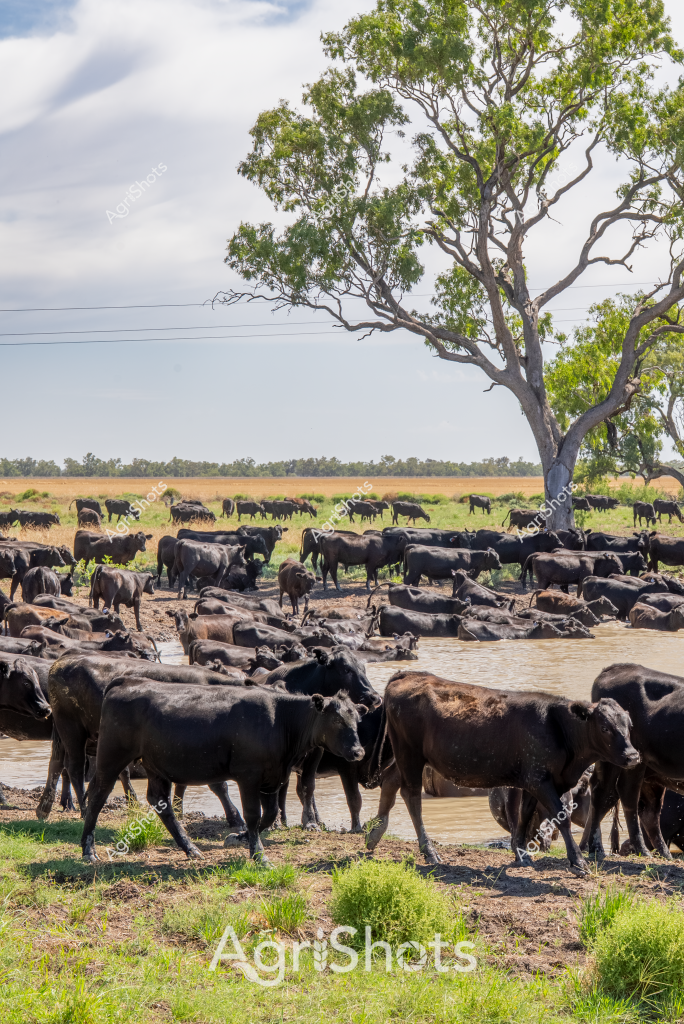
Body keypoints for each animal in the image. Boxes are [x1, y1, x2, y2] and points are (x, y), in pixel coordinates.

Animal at [365, 670, 639, 875]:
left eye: (629, 725)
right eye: (605, 727)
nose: (633, 756)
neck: (557, 726)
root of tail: (410, 675)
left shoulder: (532, 781)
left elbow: (524, 816)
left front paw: (521, 854)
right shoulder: (540, 781)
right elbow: (561, 817)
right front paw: (578, 862)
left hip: (407, 757)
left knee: (390, 780)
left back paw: (375, 833)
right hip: (409, 754)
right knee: (411, 795)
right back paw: (429, 851)